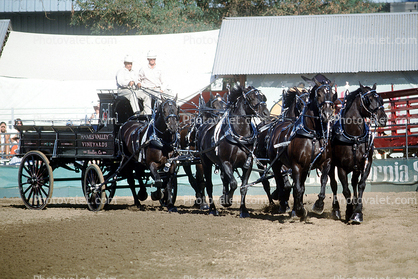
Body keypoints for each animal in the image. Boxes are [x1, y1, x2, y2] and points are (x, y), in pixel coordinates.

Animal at [197, 86, 270, 219]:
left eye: (262, 97)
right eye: (250, 98)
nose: (266, 113)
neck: (239, 136)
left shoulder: (247, 165)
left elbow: (243, 188)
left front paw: (243, 210)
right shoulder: (226, 163)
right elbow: (234, 184)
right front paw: (225, 199)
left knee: (224, 179)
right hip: (205, 162)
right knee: (209, 185)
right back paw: (212, 208)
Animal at [268, 76, 336, 221]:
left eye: (333, 94)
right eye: (319, 94)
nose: (327, 114)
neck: (312, 134)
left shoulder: (325, 162)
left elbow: (323, 181)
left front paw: (318, 205)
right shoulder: (296, 165)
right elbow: (297, 189)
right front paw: (299, 210)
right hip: (276, 163)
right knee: (280, 183)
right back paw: (284, 205)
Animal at [316, 83, 388, 223]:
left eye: (381, 99)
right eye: (369, 99)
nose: (383, 118)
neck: (354, 137)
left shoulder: (366, 164)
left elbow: (361, 185)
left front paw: (357, 212)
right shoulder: (341, 168)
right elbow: (345, 190)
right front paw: (349, 212)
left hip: (355, 168)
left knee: (354, 183)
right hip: (331, 165)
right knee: (333, 185)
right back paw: (336, 210)